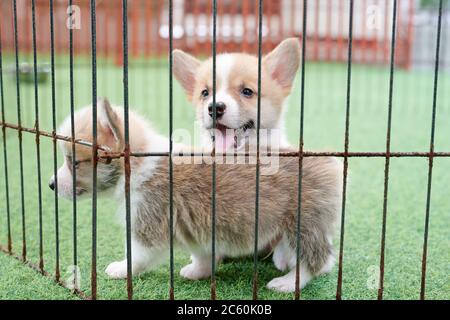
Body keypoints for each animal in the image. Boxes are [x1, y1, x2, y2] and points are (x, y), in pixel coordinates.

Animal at [48, 99, 342, 292]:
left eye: (73, 162)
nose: (50, 184)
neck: (140, 164)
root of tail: (328, 161)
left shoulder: (148, 226)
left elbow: (137, 256)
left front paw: (121, 269)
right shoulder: (200, 227)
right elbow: (203, 255)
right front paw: (198, 271)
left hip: (302, 223)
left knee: (313, 259)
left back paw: (288, 282)